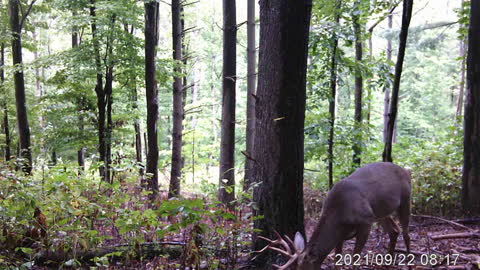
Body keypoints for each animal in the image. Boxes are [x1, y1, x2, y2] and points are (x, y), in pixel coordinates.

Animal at [256, 161, 410, 268]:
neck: (339, 213)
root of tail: (405, 170)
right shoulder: (341, 234)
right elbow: (337, 260)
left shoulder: (366, 221)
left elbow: (354, 260)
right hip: (381, 213)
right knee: (394, 231)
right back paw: (387, 264)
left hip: (405, 199)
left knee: (406, 234)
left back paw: (409, 262)